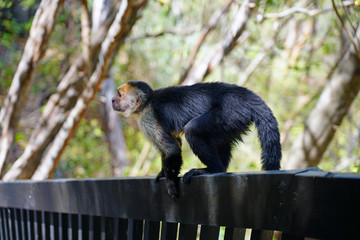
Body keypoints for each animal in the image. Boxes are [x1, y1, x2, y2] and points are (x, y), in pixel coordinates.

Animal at [112, 80, 282, 199]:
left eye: (119, 95)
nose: (113, 100)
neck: (146, 103)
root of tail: (245, 95)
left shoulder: (148, 117)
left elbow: (171, 149)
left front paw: (170, 182)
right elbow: (174, 144)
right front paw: (162, 173)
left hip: (230, 111)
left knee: (192, 130)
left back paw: (213, 170)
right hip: (235, 120)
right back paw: (220, 168)